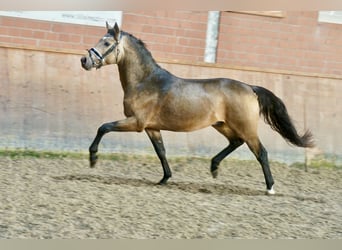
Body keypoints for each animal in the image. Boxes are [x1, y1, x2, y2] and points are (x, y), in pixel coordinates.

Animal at [79, 22, 312, 195]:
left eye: (106, 42)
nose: (84, 60)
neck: (145, 82)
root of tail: (250, 88)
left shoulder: (136, 123)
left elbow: (103, 127)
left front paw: (93, 158)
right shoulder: (152, 127)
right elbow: (161, 151)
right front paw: (165, 178)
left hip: (246, 127)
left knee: (260, 152)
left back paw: (270, 188)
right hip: (222, 124)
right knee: (235, 142)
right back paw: (214, 167)